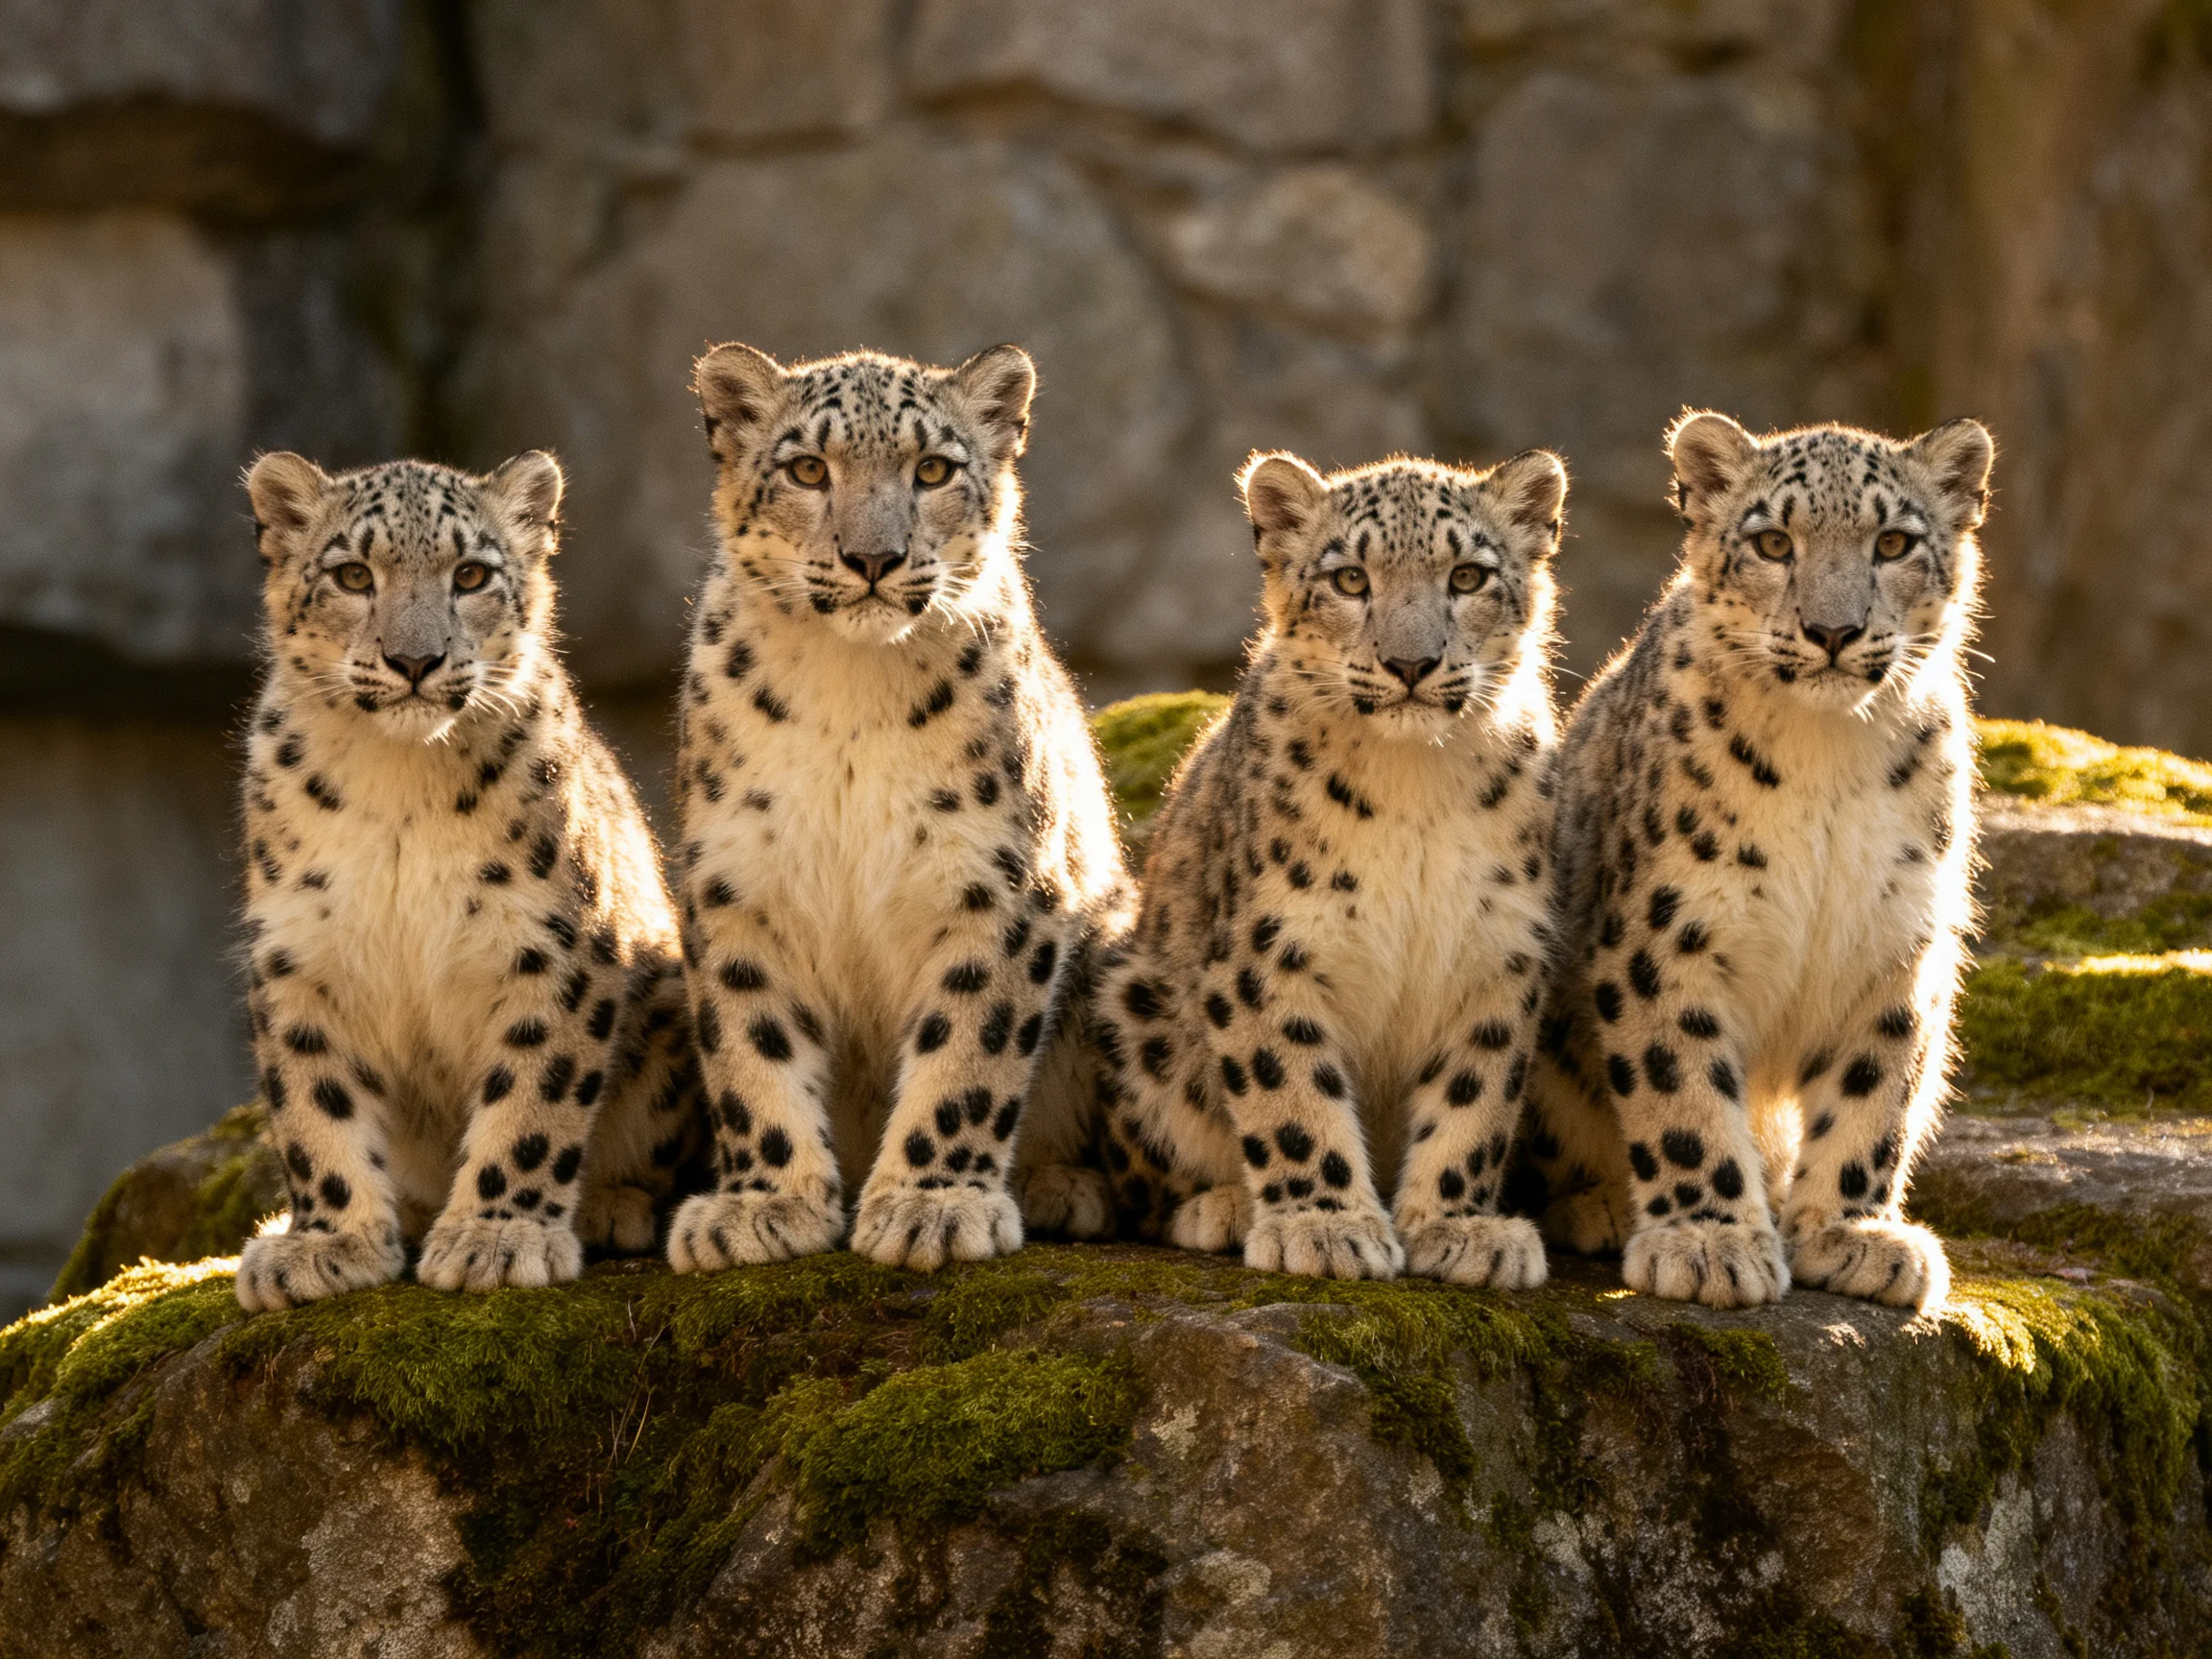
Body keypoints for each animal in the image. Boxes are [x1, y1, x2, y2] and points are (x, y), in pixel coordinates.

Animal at [232, 451, 698, 1311]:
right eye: (353, 574)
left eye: (472, 573)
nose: (415, 661)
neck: (399, 783)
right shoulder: (301, 953)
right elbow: (313, 1102)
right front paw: (327, 1244)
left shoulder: (552, 945)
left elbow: (534, 1095)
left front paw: (497, 1237)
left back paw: (610, 1207)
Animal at [661, 342, 1133, 1276]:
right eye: (808, 468)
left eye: (933, 469)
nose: (872, 558)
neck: (852, 691)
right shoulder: (737, 883)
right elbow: (750, 1043)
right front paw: (762, 1206)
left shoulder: (998, 884)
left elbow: (968, 1048)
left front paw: (932, 1207)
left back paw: (1064, 1189)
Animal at [1091, 447, 1569, 1284]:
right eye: (1350, 579)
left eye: (1467, 576)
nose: (1411, 663)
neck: (1416, 785)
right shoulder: (1266, 953)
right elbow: (1290, 1092)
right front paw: (1327, 1226)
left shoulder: (1498, 953)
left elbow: (1475, 1097)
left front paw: (1458, 1229)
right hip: (1133, 1001)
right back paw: (1226, 1208)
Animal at [1521, 411, 1995, 1311]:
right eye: (1775, 541)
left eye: (1892, 541)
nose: (1834, 631)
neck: (1827, 754)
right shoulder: (1665, 938)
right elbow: (1682, 1091)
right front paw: (1710, 1242)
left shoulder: (1896, 942)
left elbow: (1875, 1092)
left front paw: (1852, 1234)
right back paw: (1602, 1206)